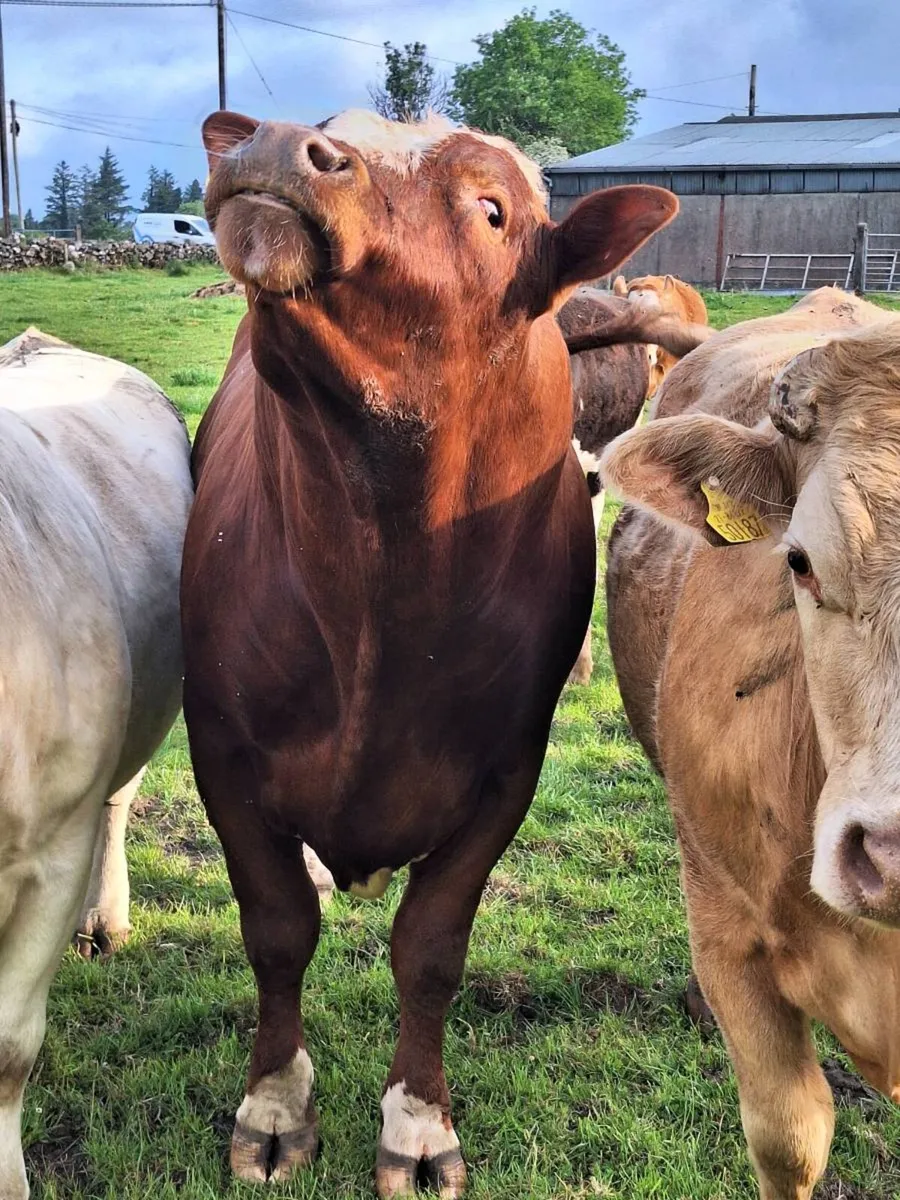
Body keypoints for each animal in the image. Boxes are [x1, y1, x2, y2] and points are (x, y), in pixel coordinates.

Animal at [180, 107, 677, 1196]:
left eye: (492, 209)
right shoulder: (222, 753)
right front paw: (274, 1107)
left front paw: (416, 1124)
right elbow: (277, 929)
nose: (279, 144)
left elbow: (432, 949)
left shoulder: (504, 775)